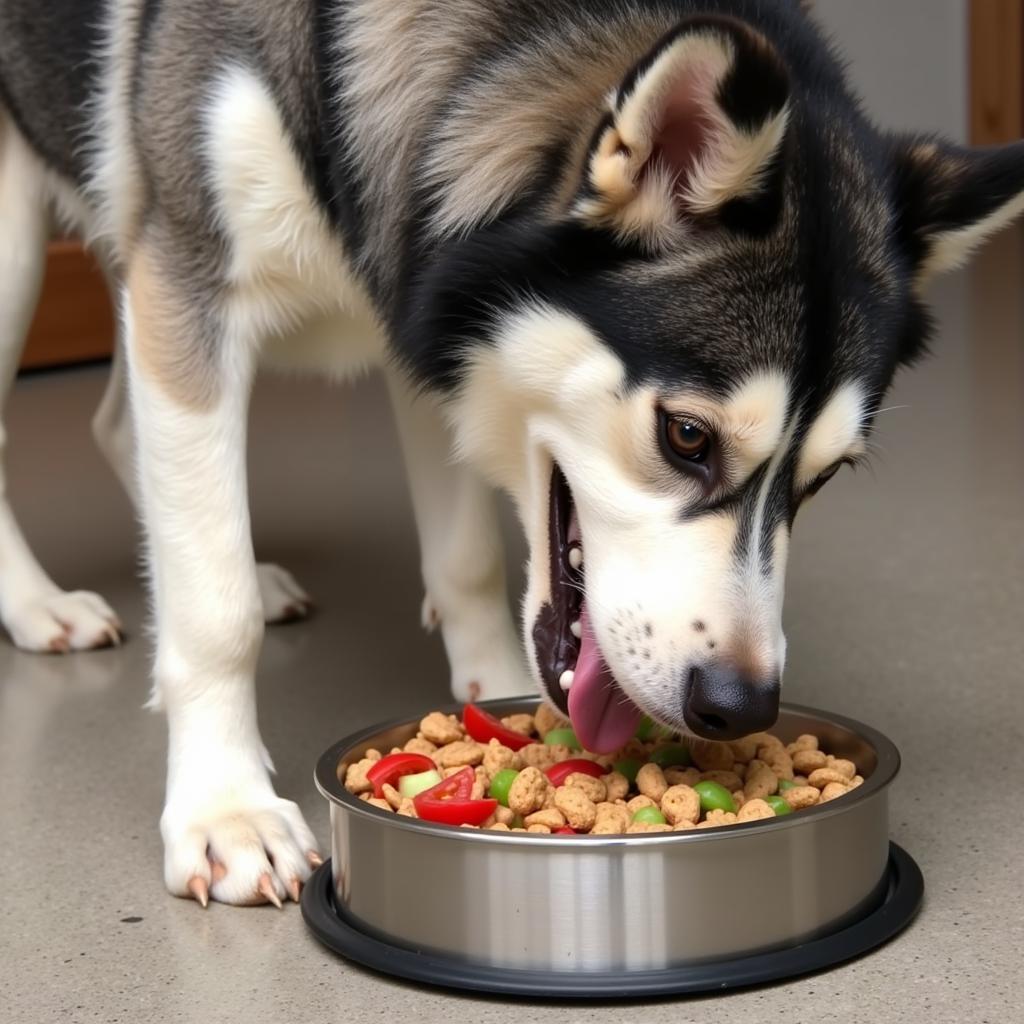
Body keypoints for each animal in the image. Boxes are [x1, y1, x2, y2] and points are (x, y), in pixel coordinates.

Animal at [0, 0, 1019, 905]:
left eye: (826, 477)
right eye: (686, 435)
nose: (742, 706)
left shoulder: (426, 311)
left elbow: (466, 553)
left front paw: (490, 687)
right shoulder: (190, 282)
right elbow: (214, 613)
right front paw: (225, 810)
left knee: (119, 428)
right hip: (19, 251)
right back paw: (43, 606)